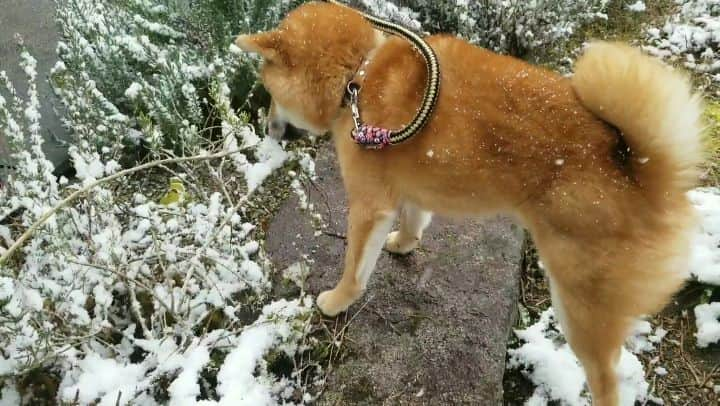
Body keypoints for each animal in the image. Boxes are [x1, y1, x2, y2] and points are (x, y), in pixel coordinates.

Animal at [235, 2, 704, 402]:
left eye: (268, 92)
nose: (267, 128)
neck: (359, 72)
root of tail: (641, 168)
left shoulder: (369, 207)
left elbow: (354, 271)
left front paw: (336, 301)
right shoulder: (408, 189)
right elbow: (413, 220)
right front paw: (404, 243)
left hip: (580, 306)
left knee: (606, 379)